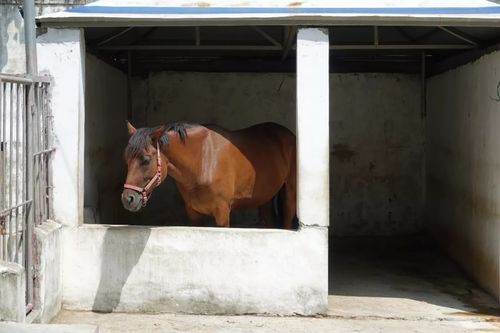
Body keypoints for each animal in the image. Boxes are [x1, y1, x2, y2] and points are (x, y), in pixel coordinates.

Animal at [120, 122, 296, 228]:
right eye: (126, 159)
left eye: (146, 160)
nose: (128, 199)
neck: (203, 161)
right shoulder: (193, 214)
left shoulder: (222, 213)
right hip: (265, 198)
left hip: (289, 192)